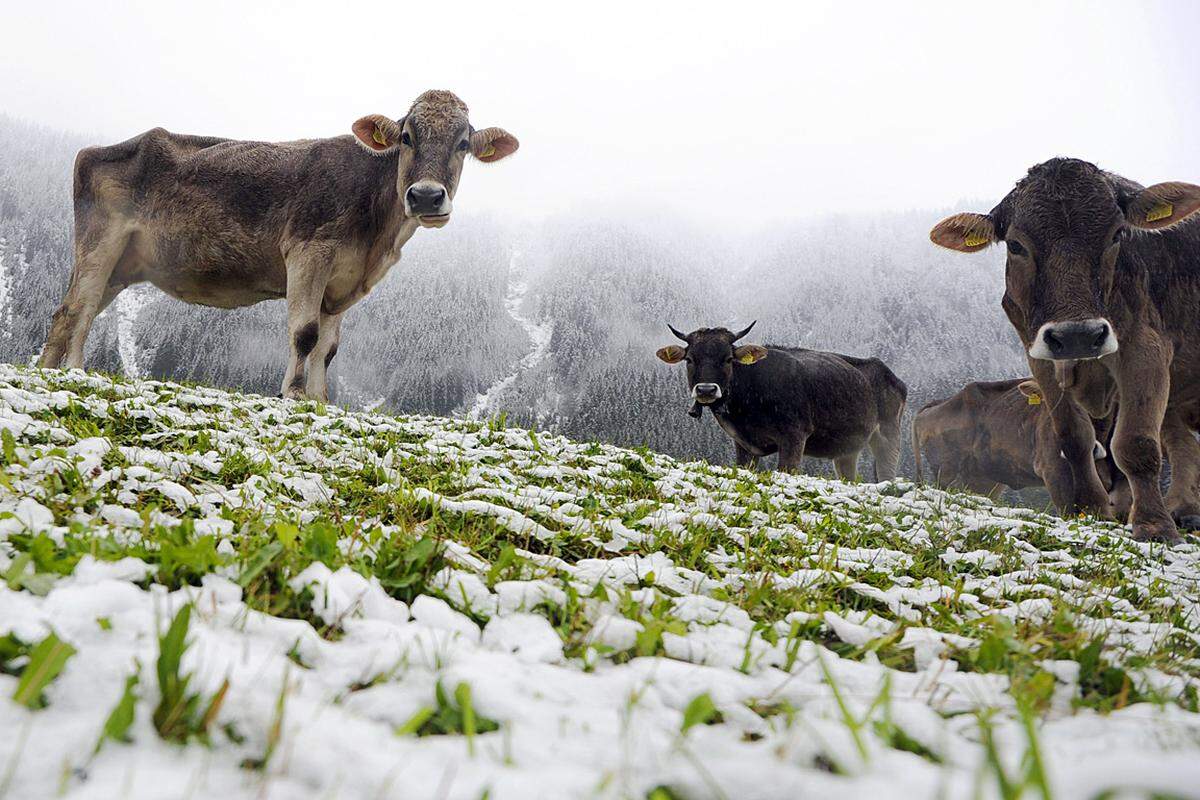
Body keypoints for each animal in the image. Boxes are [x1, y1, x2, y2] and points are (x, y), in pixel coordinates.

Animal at [36, 89, 516, 400]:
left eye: (463, 143)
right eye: (406, 137)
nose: (426, 197)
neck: (377, 239)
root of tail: (100, 148)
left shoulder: (341, 282)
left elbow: (328, 348)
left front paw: (320, 402)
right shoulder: (308, 252)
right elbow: (304, 333)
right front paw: (294, 394)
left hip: (122, 265)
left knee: (65, 310)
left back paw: (46, 371)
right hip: (101, 241)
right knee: (80, 306)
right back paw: (76, 371)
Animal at [662, 321, 902, 479]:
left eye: (728, 359)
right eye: (690, 359)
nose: (706, 390)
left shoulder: (794, 436)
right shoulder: (743, 444)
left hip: (888, 436)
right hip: (847, 449)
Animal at [926, 158, 1200, 544]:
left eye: (1117, 235)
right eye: (1016, 245)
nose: (1078, 335)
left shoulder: (1144, 350)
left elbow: (1136, 443)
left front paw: (1154, 526)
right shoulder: (1040, 360)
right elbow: (1073, 437)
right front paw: (1091, 509)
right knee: (1185, 445)